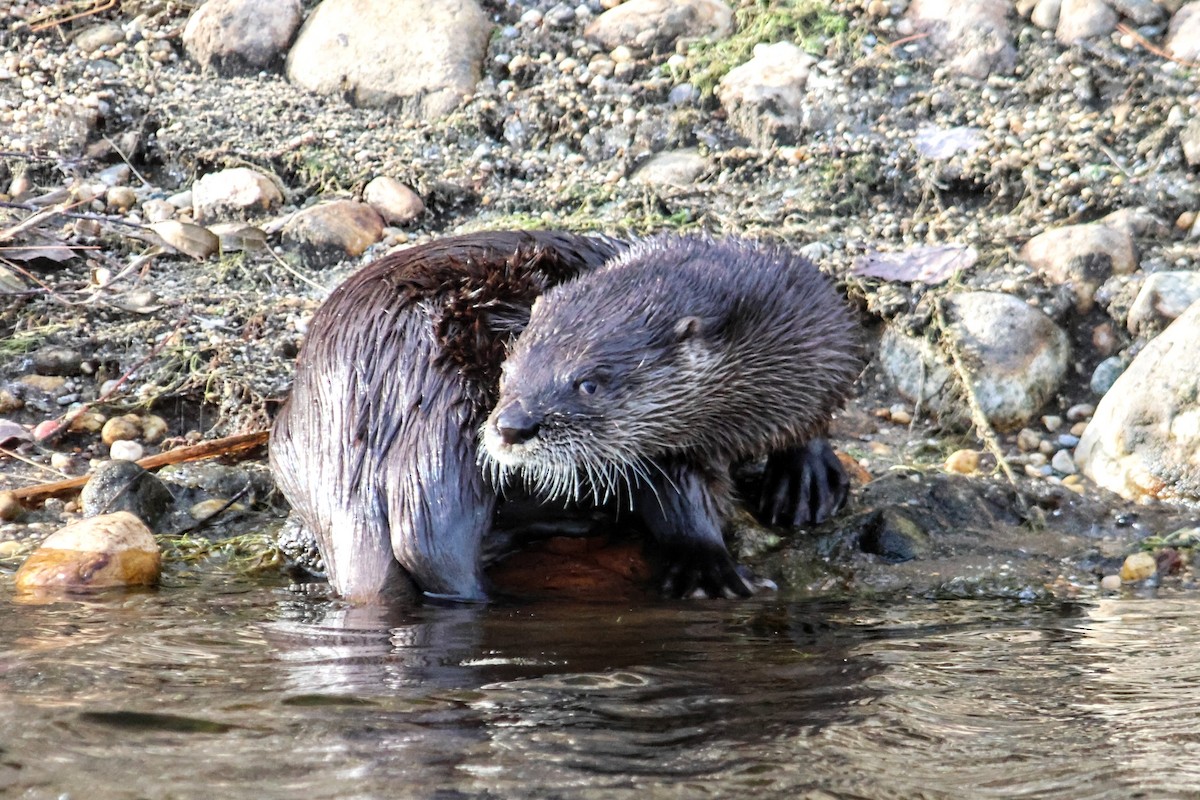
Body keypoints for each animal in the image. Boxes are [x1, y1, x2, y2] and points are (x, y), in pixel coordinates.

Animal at [270, 231, 857, 604]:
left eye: (589, 383)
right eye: (509, 368)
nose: (511, 426)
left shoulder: (821, 334)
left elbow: (816, 412)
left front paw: (805, 476)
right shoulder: (662, 450)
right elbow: (676, 499)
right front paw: (708, 566)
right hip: (443, 416)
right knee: (440, 534)